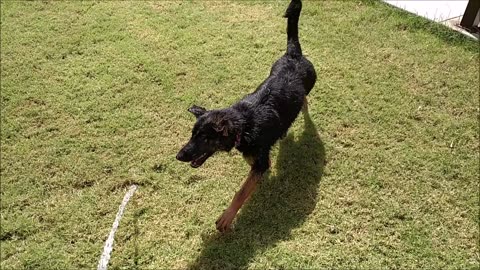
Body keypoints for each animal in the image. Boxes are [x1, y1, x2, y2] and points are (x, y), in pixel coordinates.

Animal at [176, 0, 316, 232]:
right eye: (192, 135)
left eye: (204, 138)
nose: (179, 156)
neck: (243, 124)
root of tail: (293, 54)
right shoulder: (256, 161)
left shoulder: (260, 163)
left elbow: (241, 192)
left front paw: (227, 216)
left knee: (305, 99)